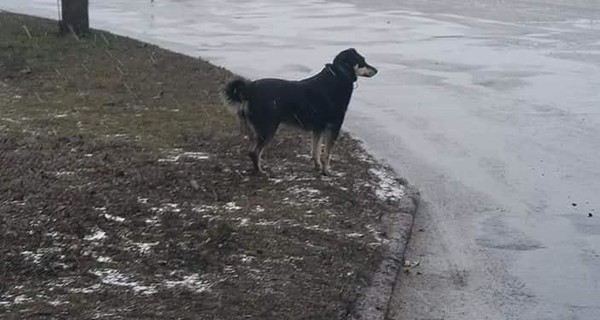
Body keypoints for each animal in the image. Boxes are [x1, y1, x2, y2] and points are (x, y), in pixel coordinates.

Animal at [223, 48, 378, 176]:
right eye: (362, 61)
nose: (376, 70)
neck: (338, 76)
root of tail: (248, 90)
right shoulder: (334, 127)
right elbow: (327, 154)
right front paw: (326, 171)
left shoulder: (318, 129)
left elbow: (316, 150)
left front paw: (317, 167)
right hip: (268, 129)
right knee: (254, 152)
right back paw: (260, 172)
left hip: (254, 130)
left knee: (251, 150)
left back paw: (256, 169)